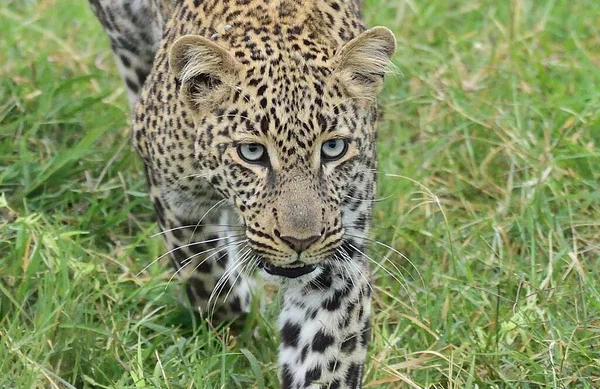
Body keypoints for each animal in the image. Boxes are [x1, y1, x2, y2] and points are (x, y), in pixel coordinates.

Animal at [89, 1, 396, 386]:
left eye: (333, 148)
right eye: (252, 152)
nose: (301, 241)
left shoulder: (339, 257)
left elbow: (325, 359)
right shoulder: (178, 203)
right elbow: (205, 276)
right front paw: (234, 328)